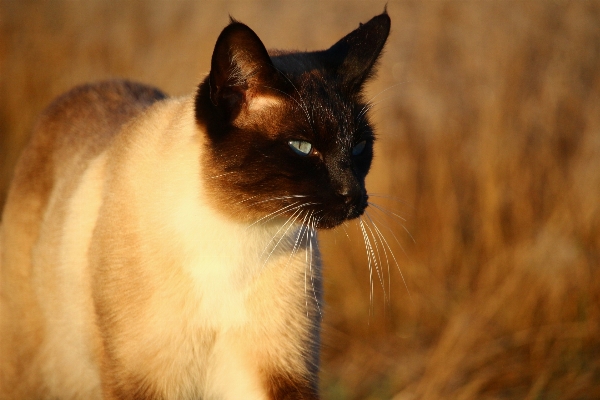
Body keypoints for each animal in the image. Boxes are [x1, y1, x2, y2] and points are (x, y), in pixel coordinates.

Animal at [0, 10, 392, 400]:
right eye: (302, 147)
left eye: (359, 147)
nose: (353, 195)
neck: (237, 232)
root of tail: (86, 88)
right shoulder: (146, 380)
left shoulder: (277, 370)